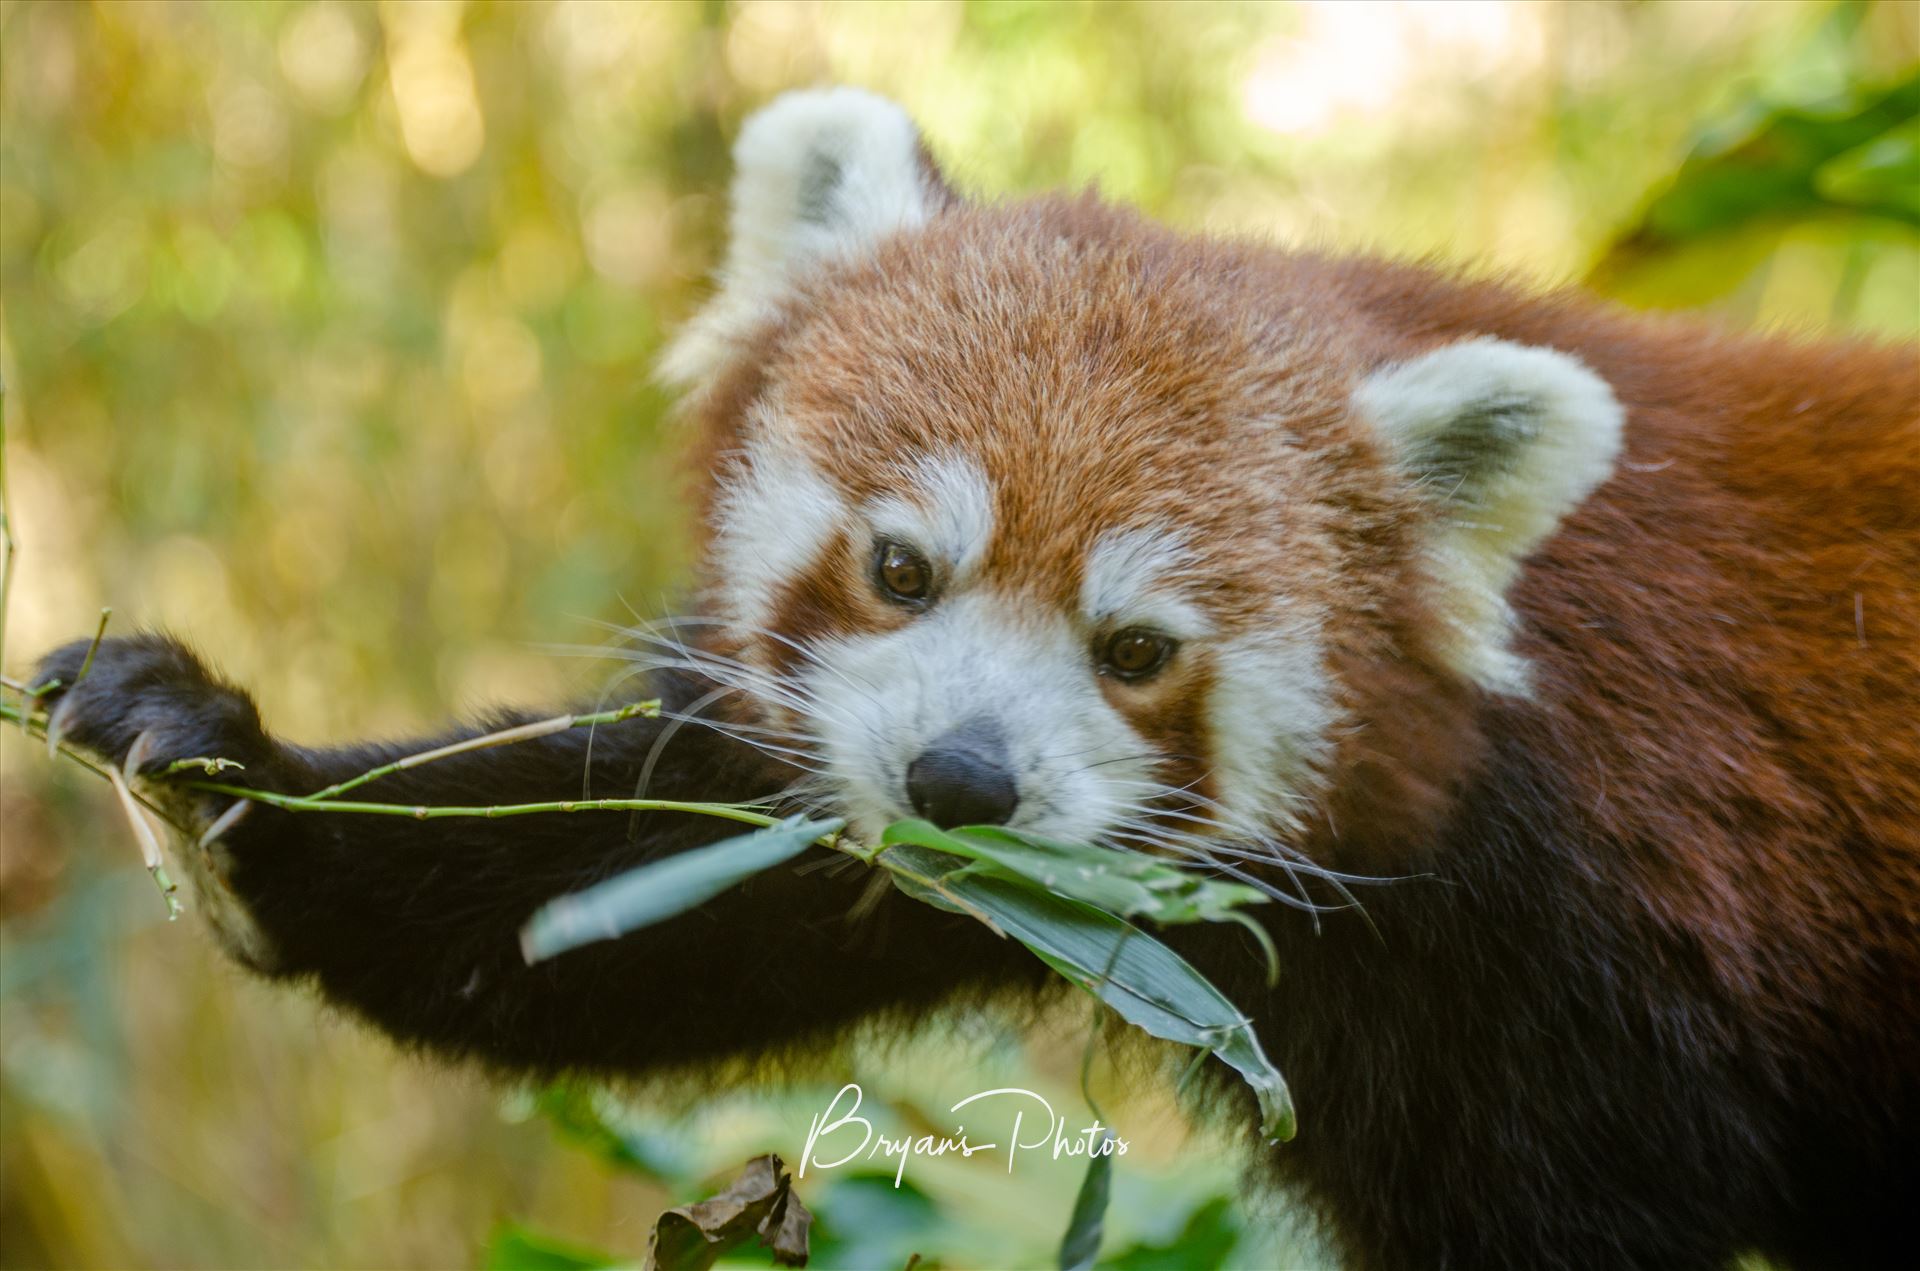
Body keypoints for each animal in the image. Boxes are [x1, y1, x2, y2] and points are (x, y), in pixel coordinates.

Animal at [30, 84, 1920, 1267]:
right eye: (900, 567)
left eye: (1138, 650)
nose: (962, 781)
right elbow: (616, 910)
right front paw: (219, 771)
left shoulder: (1576, 953)